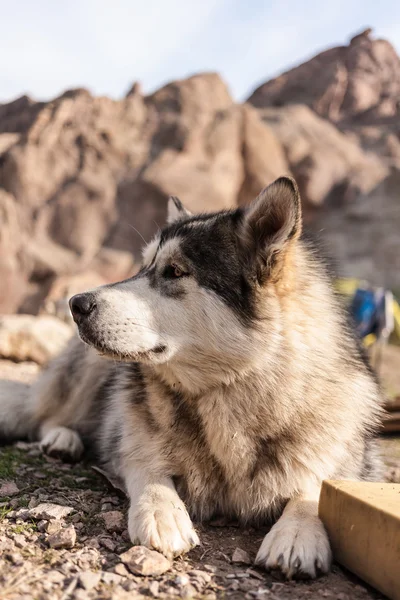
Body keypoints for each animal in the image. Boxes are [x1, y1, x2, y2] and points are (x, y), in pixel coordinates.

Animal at [0, 176, 382, 580]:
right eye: (142, 267)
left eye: (174, 271)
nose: (76, 304)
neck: (225, 390)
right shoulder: (131, 437)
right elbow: (147, 465)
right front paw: (162, 510)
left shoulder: (345, 460)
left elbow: (315, 485)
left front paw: (297, 531)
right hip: (87, 372)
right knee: (45, 415)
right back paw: (63, 438)